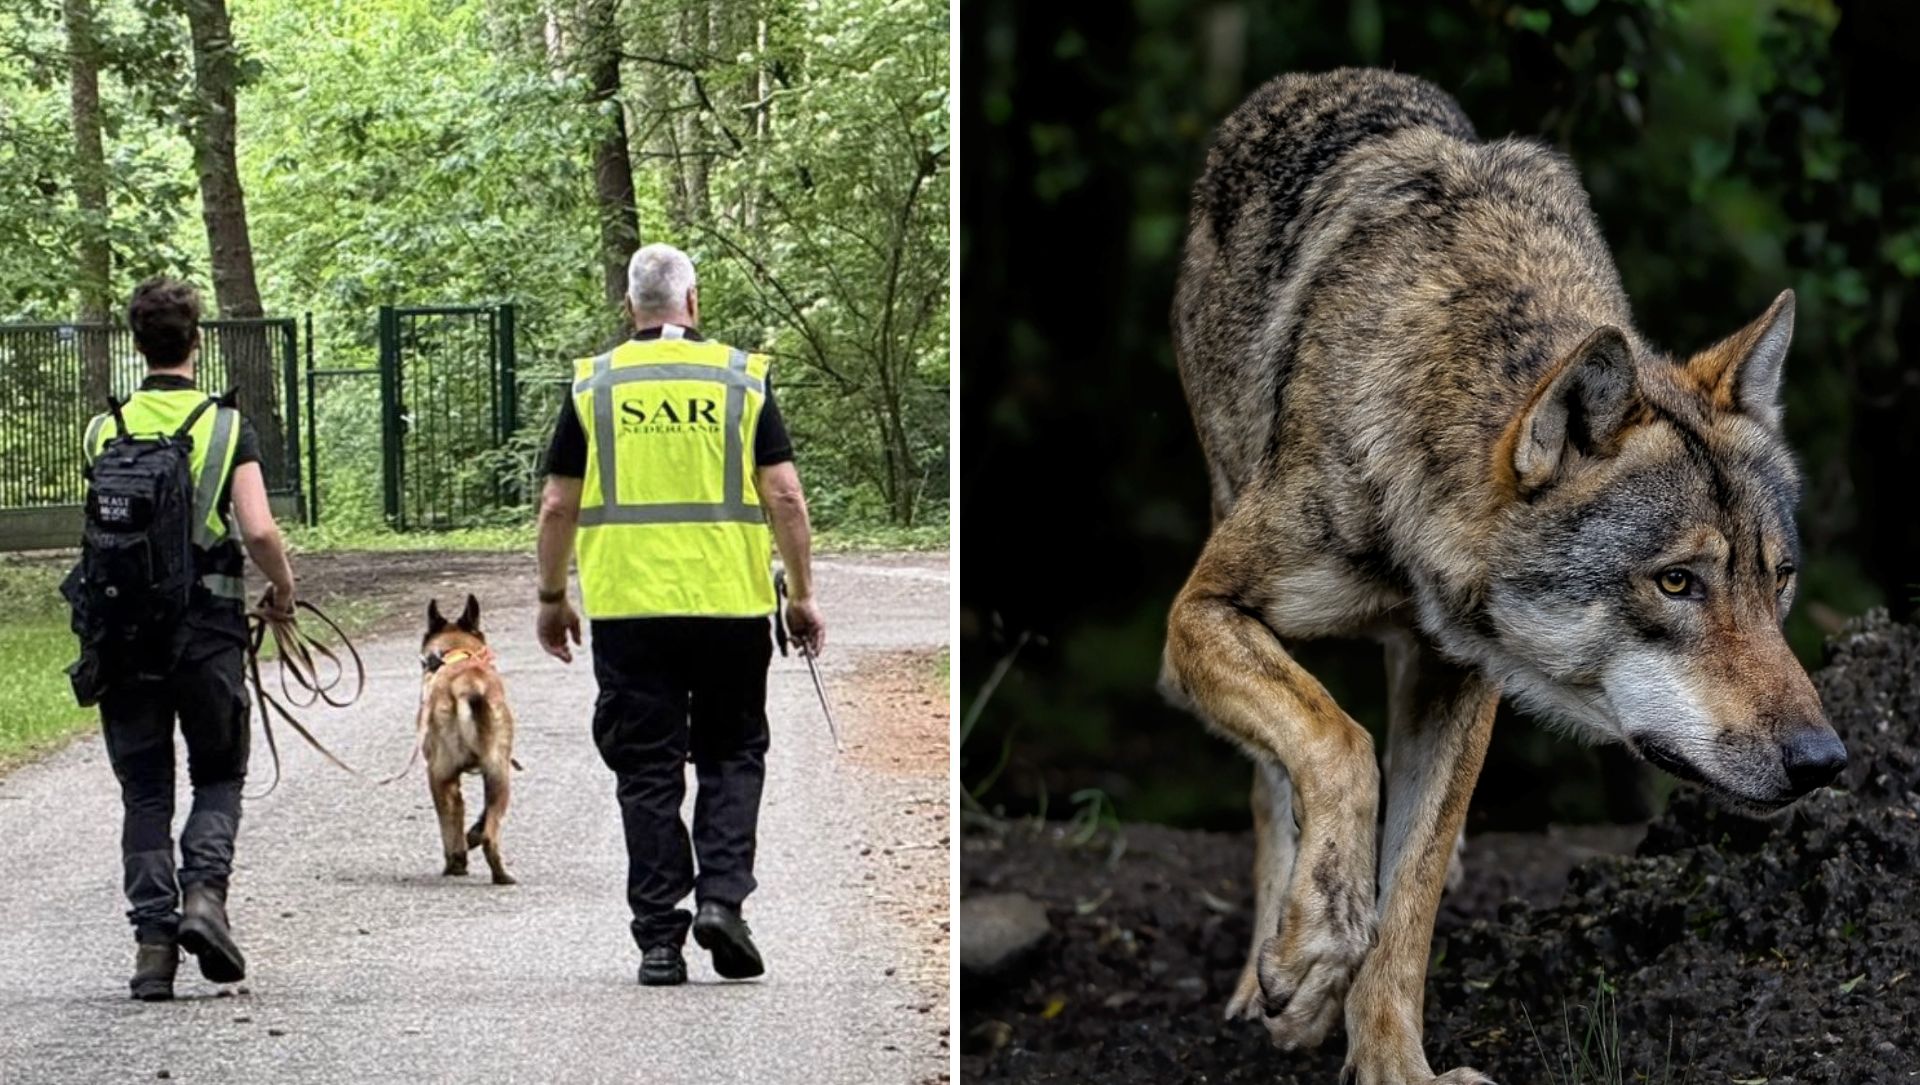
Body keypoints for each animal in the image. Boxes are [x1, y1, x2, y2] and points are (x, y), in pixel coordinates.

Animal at [416, 595, 518, 885]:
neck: (455, 655)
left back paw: (456, 865)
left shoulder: (443, 778)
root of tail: (468, 685)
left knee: (454, 822)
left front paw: (458, 857)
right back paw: (500, 874)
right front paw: (469, 840)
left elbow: (452, 824)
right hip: (499, 774)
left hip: (443, 775)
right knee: (490, 834)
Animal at [1161, 68, 1844, 1084]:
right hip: (1223, 507)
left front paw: (1394, 1062)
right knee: (1275, 775)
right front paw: (1312, 947)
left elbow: (1410, 894)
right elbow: (1336, 743)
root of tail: (1306, 83)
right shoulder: (1200, 612)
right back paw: (1266, 970)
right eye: (1677, 583)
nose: (1824, 760)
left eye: (1781, 580)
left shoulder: (1462, 679)